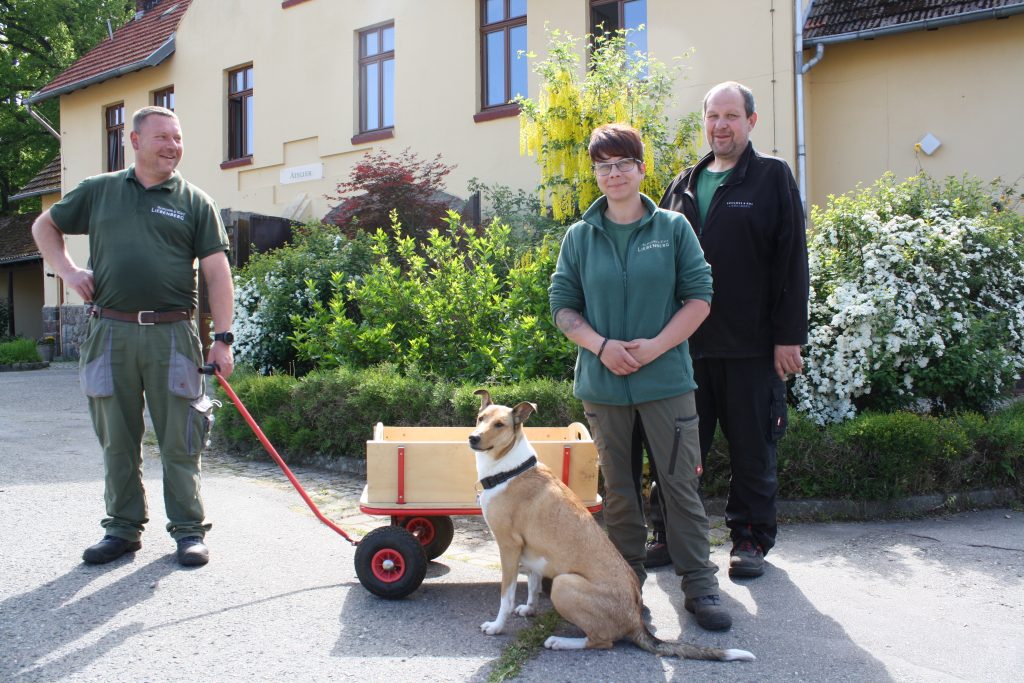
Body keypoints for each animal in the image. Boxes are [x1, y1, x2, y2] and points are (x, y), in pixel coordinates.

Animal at [468, 389, 753, 663]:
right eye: (481, 418)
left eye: (500, 424)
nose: (473, 438)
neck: (510, 469)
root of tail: (635, 620)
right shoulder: (531, 550)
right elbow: (533, 584)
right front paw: (529, 609)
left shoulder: (509, 546)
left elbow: (506, 596)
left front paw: (496, 626)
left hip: (564, 584)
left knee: (602, 641)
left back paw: (560, 641)